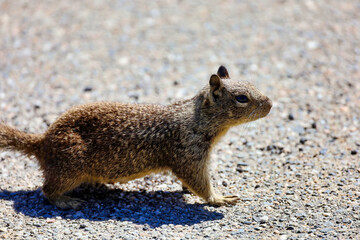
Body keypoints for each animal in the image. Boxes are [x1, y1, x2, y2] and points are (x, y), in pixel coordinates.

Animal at [0, 66, 270, 210]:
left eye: (253, 84)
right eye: (242, 98)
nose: (270, 104)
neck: (197, 118)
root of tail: (43, 142)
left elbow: (192, 181)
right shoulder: (188, 152)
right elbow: (199, 182)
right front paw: (219, 198)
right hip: (70, 167)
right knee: (47, 190)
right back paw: (67, 201)